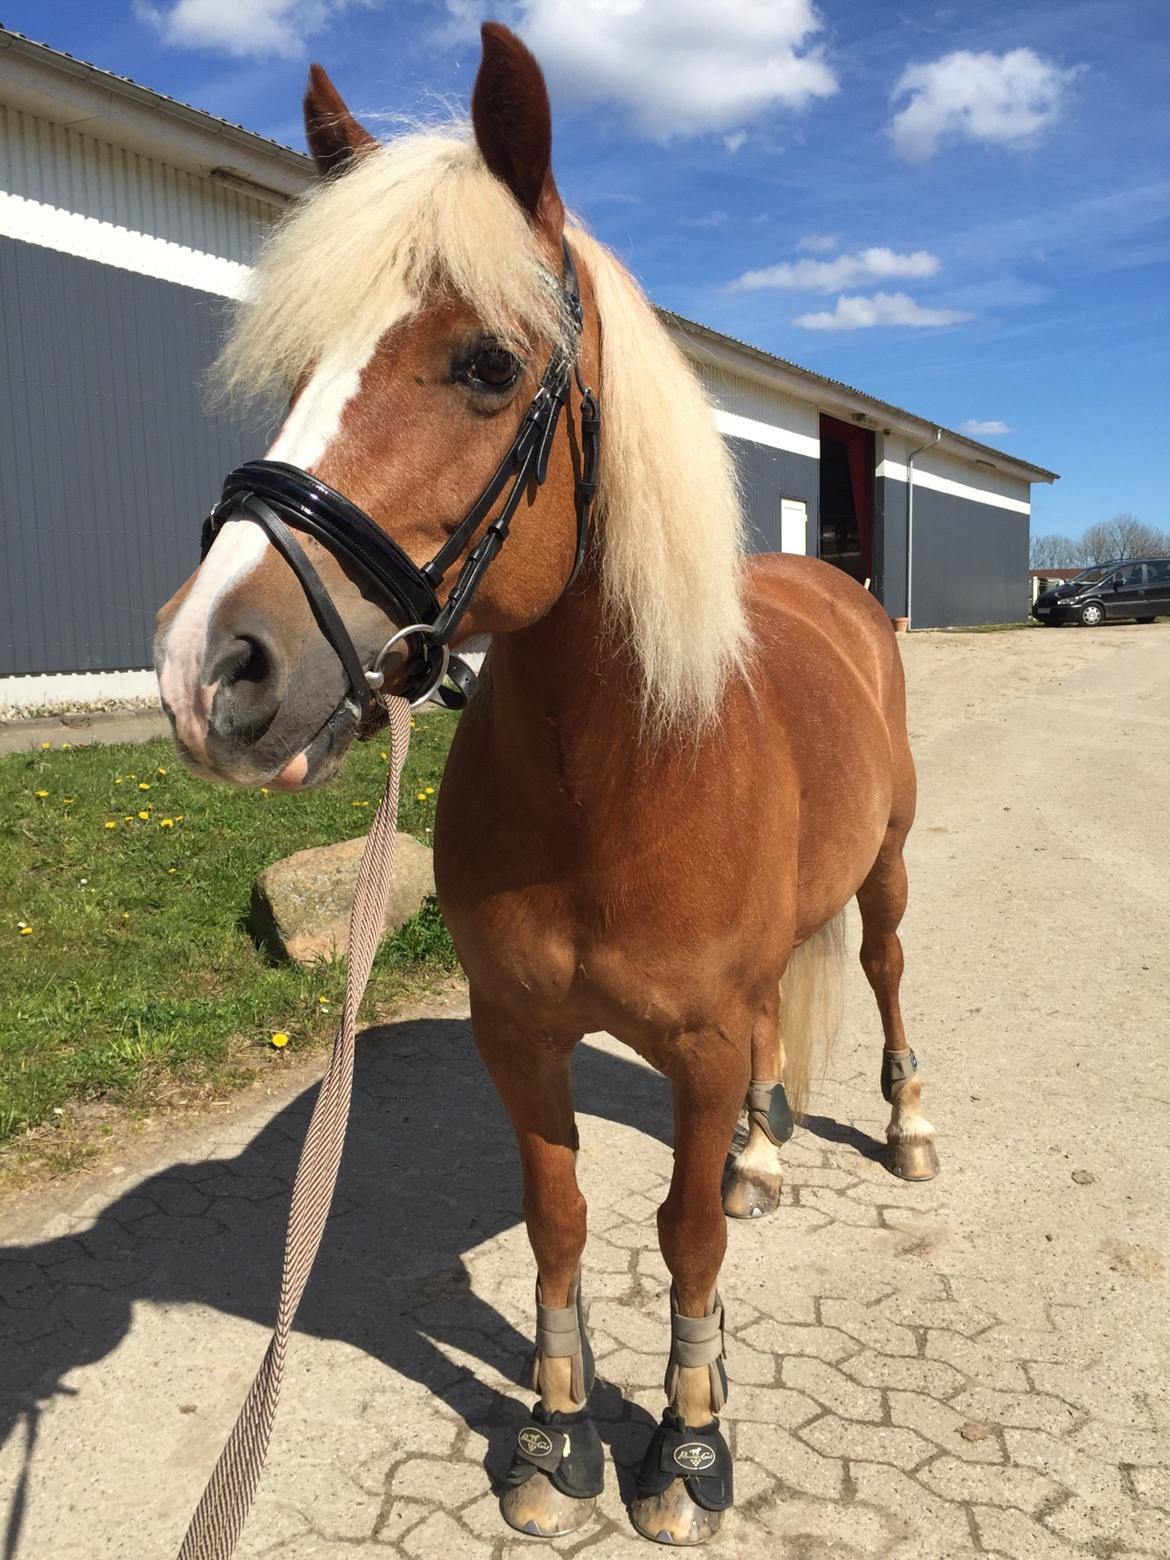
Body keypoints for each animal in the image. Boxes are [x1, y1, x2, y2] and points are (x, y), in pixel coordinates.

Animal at [156, 21, 942, 1547]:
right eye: (294, 369)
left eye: (483, 363)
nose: (209, 670)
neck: (616, 783)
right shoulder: (516, 1037)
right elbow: (563, 1220)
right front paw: (556, 1433)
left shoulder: (693, 1047)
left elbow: (683, 1235)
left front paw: (686, 1451)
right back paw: (765, 1153)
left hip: (885, 872)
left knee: (880, 976)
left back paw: (904, 1124)